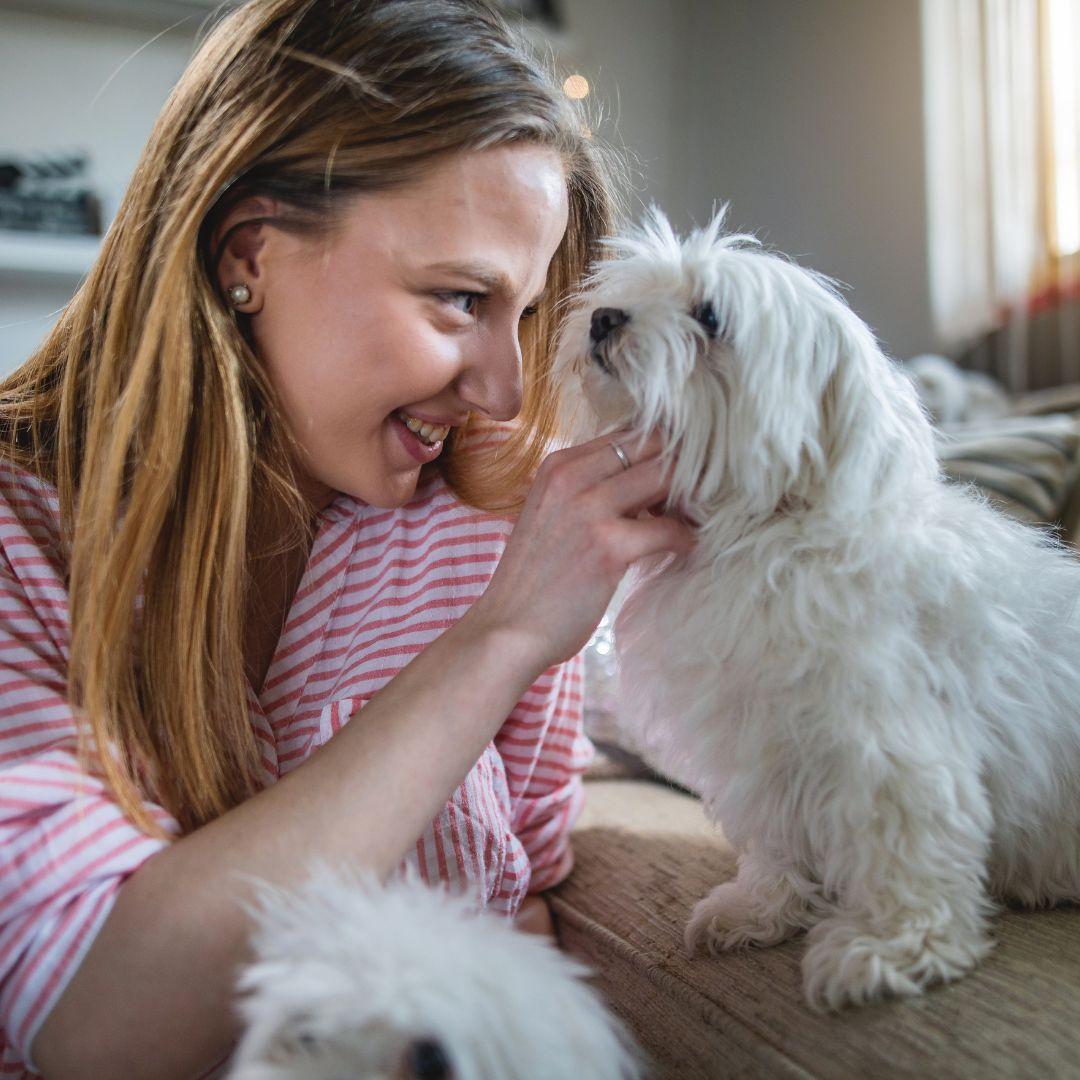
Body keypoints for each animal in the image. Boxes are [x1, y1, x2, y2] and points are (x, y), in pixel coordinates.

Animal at [552, 204, 1080, 1010]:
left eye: (711, 316)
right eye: (628, 291)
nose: (604, 317)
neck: (764, 539)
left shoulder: (888, 745)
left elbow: (907, 849)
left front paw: (889, 947)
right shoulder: (765, 745)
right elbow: (777, 839)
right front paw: (760, 906)